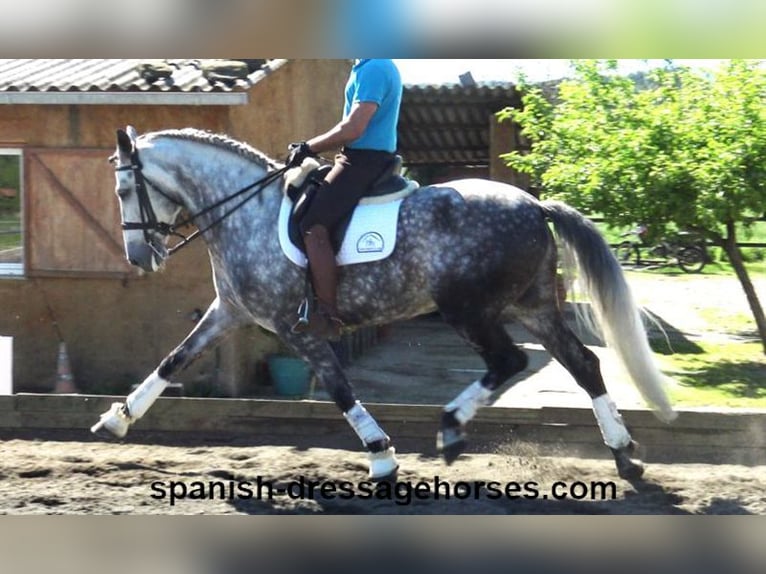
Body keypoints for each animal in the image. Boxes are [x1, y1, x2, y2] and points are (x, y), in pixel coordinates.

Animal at [91, 128, 680, 484]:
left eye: (123, 190)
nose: (141, 258)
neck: (245, 213)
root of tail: (534, 204)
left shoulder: (297, 329)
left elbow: (340, 389)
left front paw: (381, 457)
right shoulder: (230, 311)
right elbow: (173, 360)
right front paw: (116, 420)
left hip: (470, 310)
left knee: (508, 361)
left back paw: (450, 428)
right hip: (532, 307)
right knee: (583, 363)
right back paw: (624, 454)